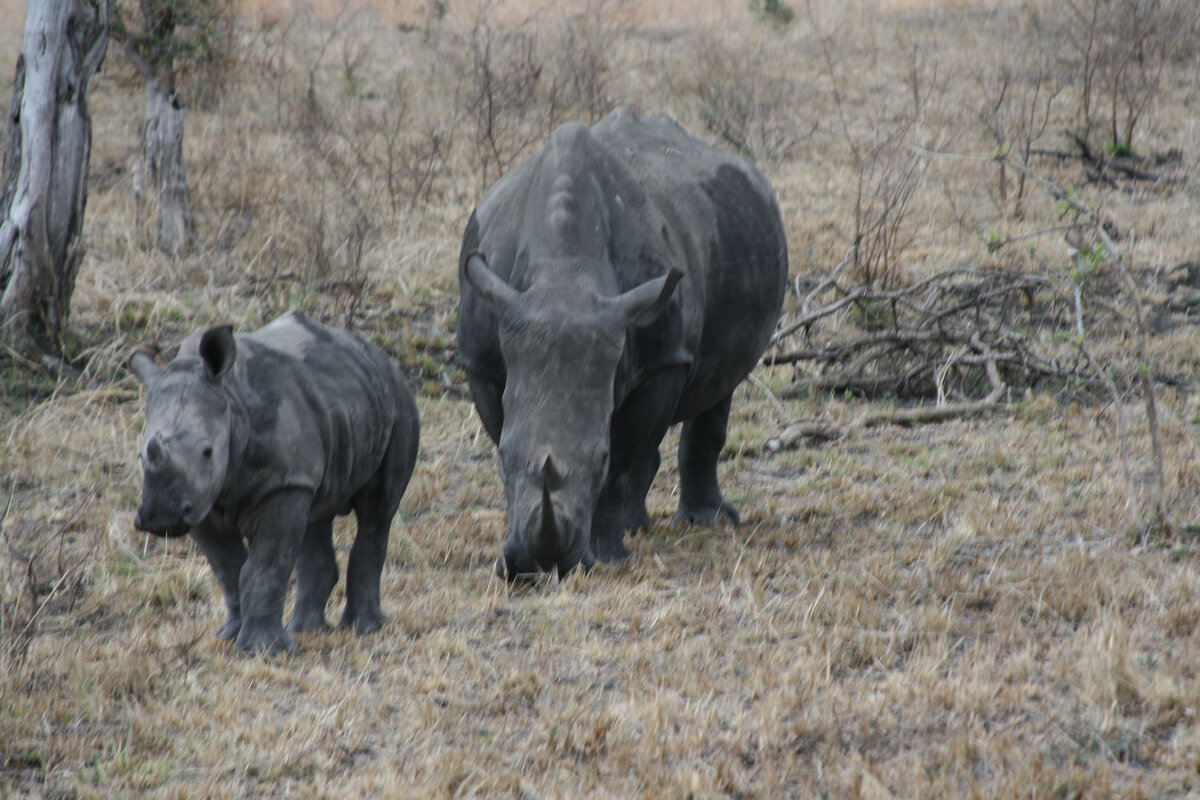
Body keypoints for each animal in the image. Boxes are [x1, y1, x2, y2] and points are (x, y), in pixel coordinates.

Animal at [130, 309, 420, 652]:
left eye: (207, 451)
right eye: (141, 456)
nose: (162, 518)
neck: (229, 399)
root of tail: (378, 353)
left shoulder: (281, 483)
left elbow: (265, 567)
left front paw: (262, 650)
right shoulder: (199, 500)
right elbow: (229, 569)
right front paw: (230, 637)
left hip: (399, 400)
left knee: (377, 512)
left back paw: (364, 628)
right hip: (337, 406)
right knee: (316, 515)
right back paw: (307, 630)